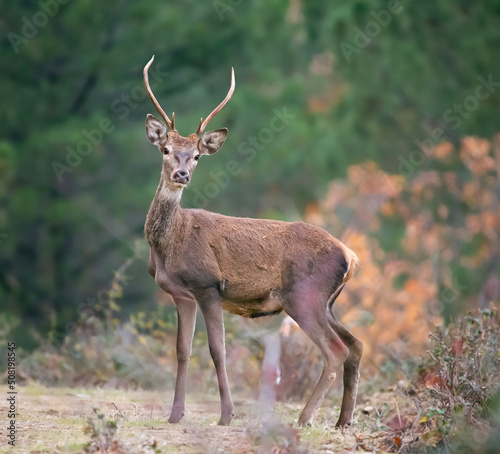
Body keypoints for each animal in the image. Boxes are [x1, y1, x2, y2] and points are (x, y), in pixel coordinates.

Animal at [143, 55, 362, 428]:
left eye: (197, 156)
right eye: (166, 149)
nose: (181, 174)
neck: (168, 245)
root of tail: (351, 256)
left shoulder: (207, 284)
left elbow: (217, 350)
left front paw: (226, 415)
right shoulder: (180, 294)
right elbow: (182, 351)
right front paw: (175, 415)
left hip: (303, 295)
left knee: (337, 350)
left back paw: (305, 418)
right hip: (327, 301)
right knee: (357, 344)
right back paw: (342, 420)